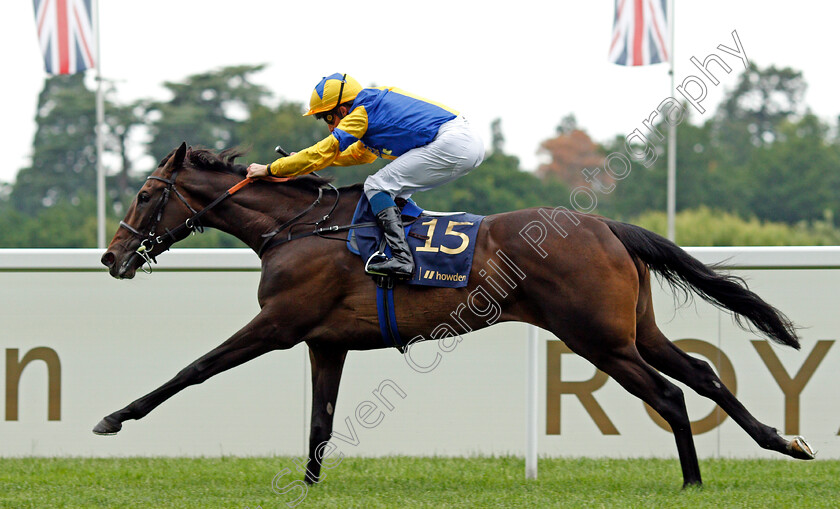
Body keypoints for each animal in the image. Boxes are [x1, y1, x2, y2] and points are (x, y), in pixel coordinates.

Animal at [97, 144, 812, 488]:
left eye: (146, 193)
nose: (111, 256)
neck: (298, 229)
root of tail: (605, 224)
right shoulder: (327, 343)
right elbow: (321, 423)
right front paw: (306, 484)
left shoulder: (279, 326)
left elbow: (193, 370)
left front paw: (113, 417)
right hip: (634, 330)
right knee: (704, 375)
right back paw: (782, 442)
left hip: (598, 339)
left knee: (669, 395)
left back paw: (692, 481)